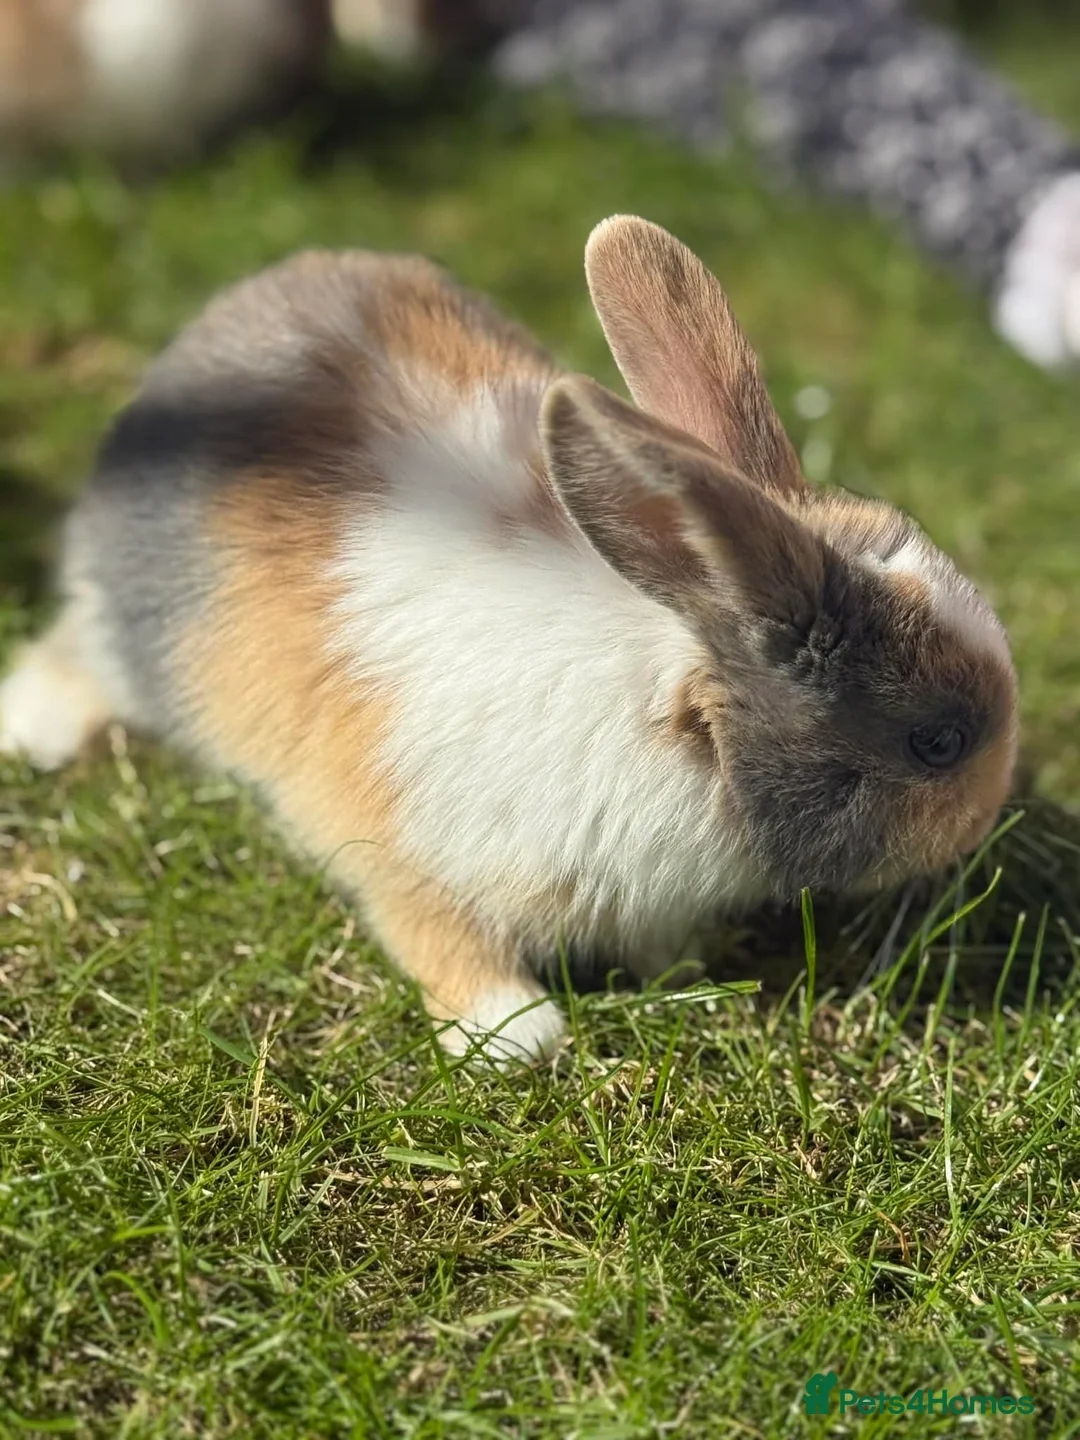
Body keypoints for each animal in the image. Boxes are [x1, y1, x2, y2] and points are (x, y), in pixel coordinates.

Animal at [0, 216, 1019, 1061]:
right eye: (937, 742)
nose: (986, 817)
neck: (678, 725)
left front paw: (684, 969)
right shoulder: (402, 851)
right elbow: (437, 936)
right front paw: (516, 1037)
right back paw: (39, 729)